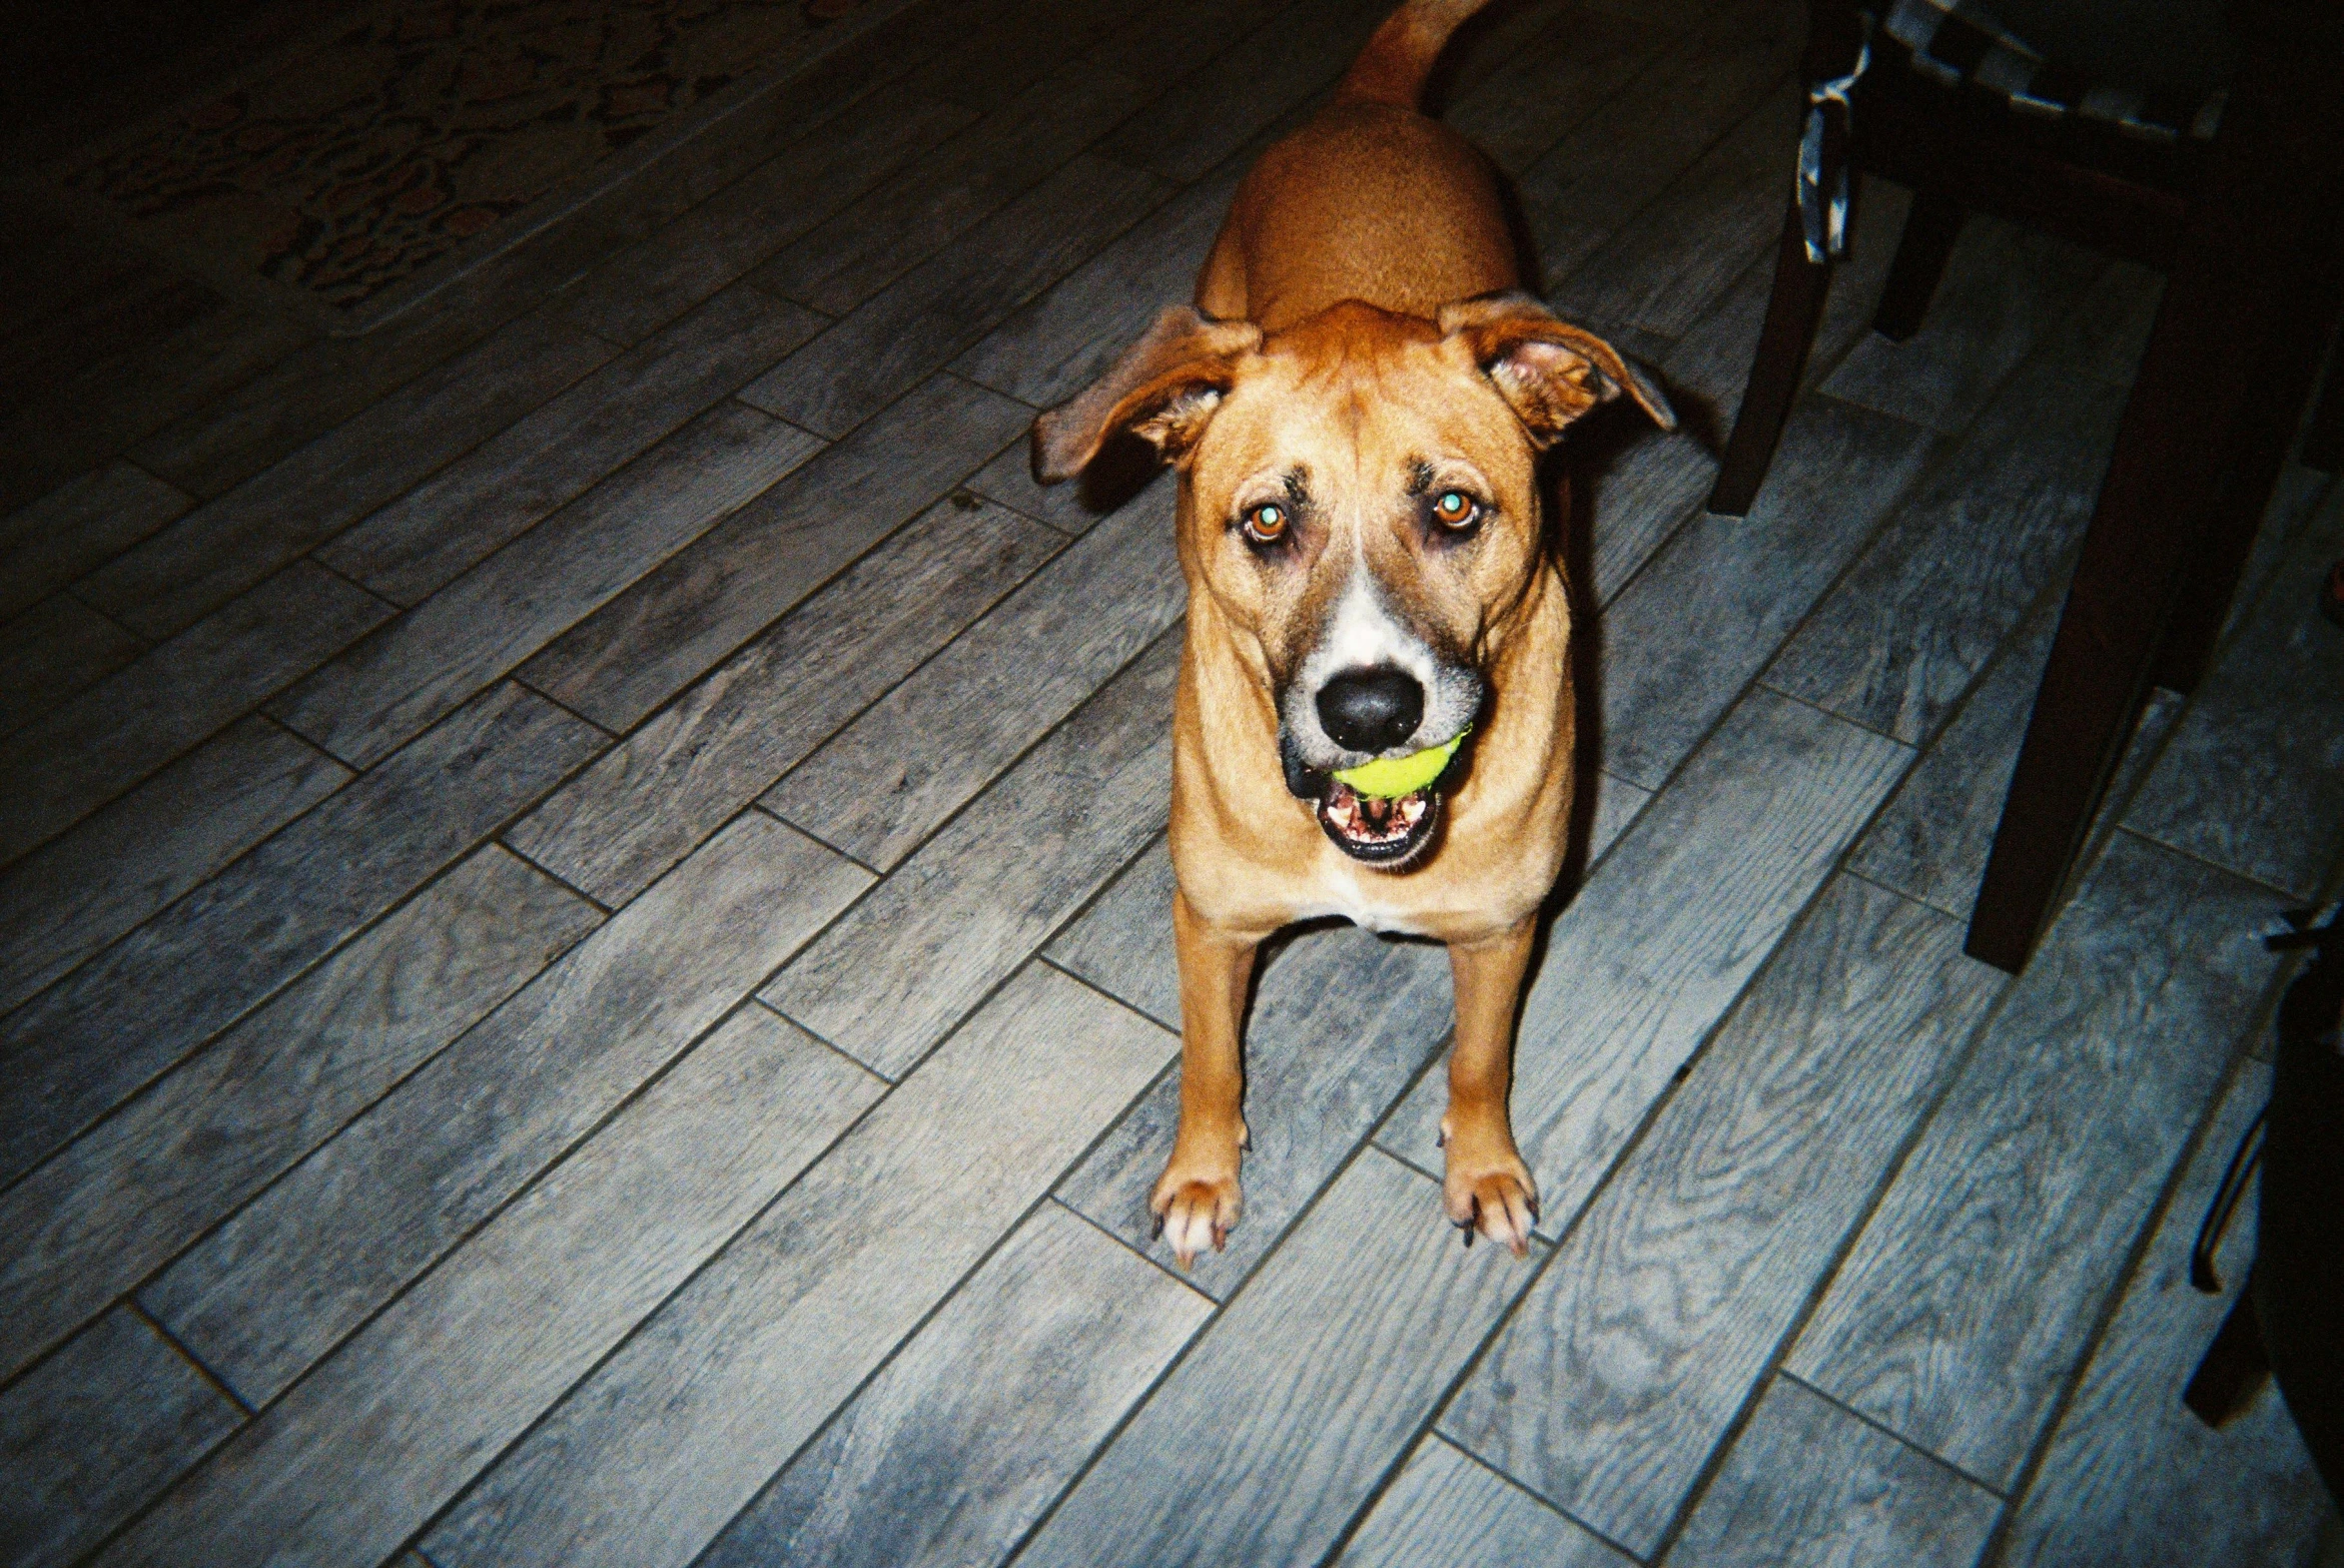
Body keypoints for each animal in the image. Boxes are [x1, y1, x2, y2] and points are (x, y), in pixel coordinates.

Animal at [1036, 0, 1678, 1255]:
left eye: (1454, 508)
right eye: (1267, 519)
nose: (1373, 712)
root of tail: (1368, 109)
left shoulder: (1498, 934)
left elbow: (1480, 1062)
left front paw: (1483, 1166)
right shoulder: (1212, 924)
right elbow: (1211, 1063)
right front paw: (1201, 1174)